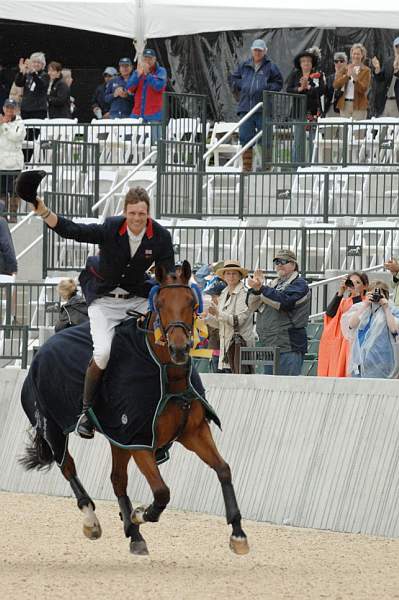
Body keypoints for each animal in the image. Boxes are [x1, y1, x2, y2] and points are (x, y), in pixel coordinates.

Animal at [21, 260, 250, 556]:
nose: (179, 348)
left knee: (117, 479)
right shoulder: (138, 440)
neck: (167, 376)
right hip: (54, 429)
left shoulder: (193, 432)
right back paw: (93, 521)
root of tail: (43, 348)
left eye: (191, 301)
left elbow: (224, 469)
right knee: (68, 467)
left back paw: (133, 533)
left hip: (116, 440)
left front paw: (238, 533)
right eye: (160, 303)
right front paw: (141, 513)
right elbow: (162, 491)